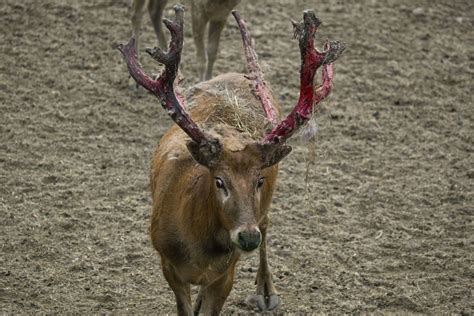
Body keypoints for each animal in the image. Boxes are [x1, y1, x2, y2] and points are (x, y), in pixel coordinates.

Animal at [116, 3, 342, 314]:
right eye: (219, 181)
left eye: (259, 180)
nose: (246, 237)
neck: (198, 250)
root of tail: (235, 73)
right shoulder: (167, 264)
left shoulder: (227, 274)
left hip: (265, 211)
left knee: (266, 226)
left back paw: (265, 292)